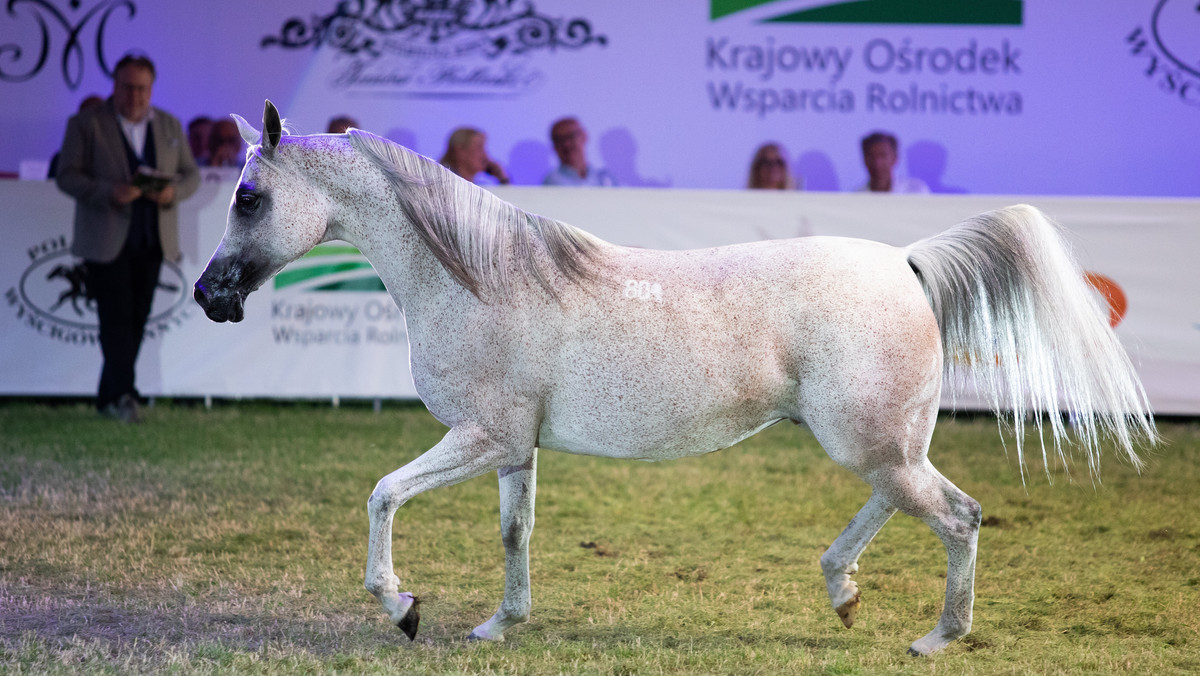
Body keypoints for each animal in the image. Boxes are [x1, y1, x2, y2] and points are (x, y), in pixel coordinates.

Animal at [194, 102, 1152, 657]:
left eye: (247, 196)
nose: (208, 295)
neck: (481, 278)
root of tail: (906, 262)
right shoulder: (514, 448)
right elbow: (514, 534)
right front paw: (500, 623)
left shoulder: (480, 436)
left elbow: (383, 495)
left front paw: (402, 607)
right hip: (876, 441)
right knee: (903, 501)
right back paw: (842, 592)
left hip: (869, 440)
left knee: (957, 516)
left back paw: (936, 637)